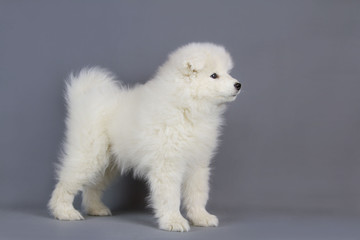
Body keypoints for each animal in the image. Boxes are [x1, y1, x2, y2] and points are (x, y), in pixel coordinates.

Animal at [48, 42, 242, 232]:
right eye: (214, 75)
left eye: (227, 72)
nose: (238, 84)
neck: (186, 106)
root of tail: (88, 96)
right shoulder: (167, 163)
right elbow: (170, 196)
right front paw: (174, 221)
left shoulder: (197, 163)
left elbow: (197, 193)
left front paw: (201, 217)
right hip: (89, 154)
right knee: (67, 182)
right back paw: (64, 212)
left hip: (108, 164)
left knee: (93, 185)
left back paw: (95, 208)